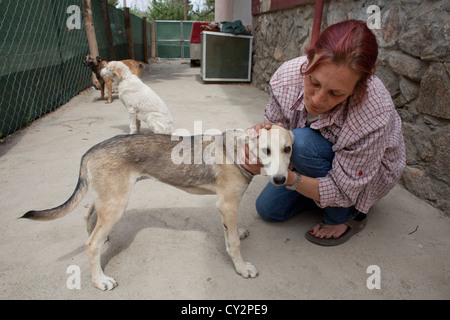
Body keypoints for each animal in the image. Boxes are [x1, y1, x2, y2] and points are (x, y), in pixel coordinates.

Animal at [21, 126, 296, 292]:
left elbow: (230, 233)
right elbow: (234, 246)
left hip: (108, 198)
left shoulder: (226, 207)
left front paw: (235, 232)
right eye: (266, 150)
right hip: (117, 203)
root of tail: (90, 151)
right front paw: (241, 268)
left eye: (288, 149)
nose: (281, 180)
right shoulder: (227, 204)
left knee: (88, 214)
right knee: (91, 244)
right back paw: (100, 280)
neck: (238, 151)